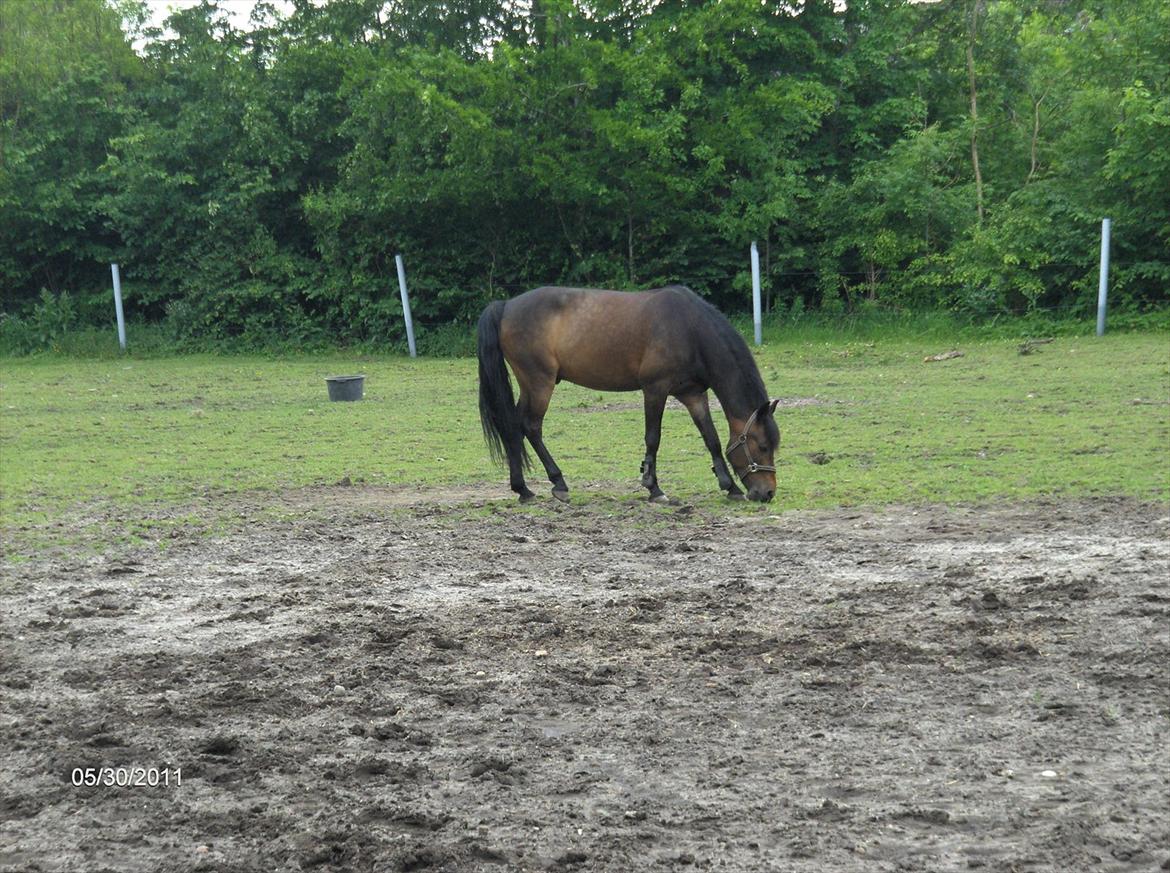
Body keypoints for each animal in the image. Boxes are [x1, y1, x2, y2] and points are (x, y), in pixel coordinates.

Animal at [477, 285, 780, 504]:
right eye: (763, 446)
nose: (767, 493)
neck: (689, 329)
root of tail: (505, 306)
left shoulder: (693, 394)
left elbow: (712, 439)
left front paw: (730, 487)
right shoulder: (655, 389)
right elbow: (653, 438)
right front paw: (654, 488)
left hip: (531, 385)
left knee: (514, 427)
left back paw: (523, 489)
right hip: (539, 383)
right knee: (530, 426)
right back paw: (557, 483)